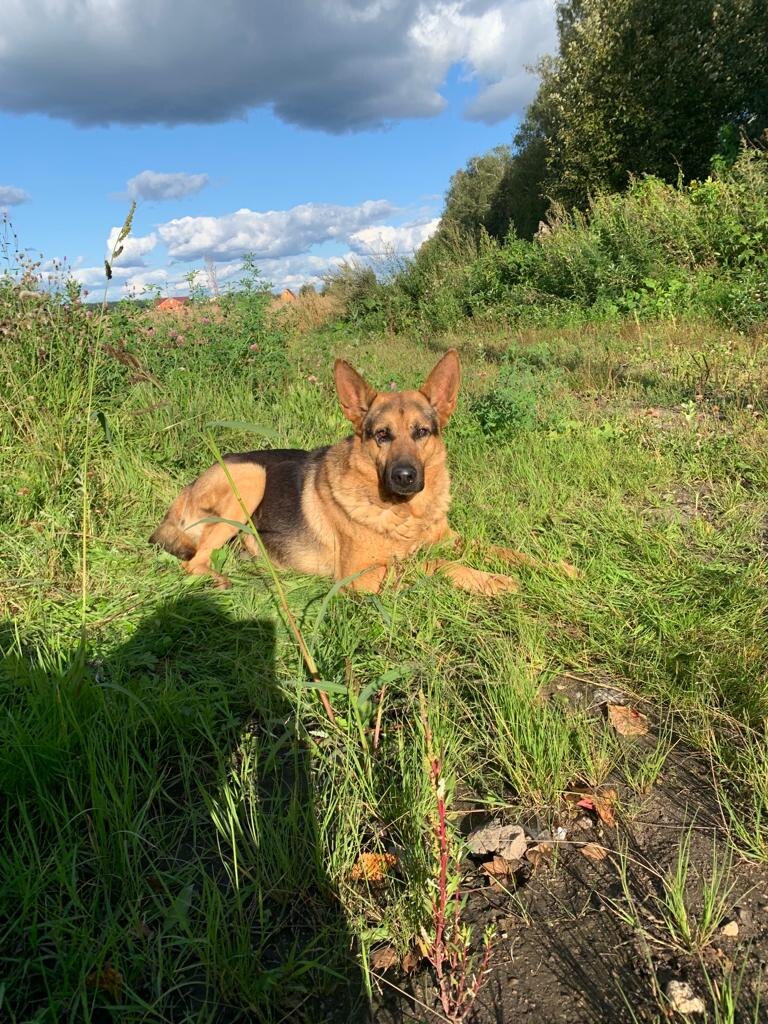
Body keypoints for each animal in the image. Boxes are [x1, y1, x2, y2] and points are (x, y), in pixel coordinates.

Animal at [151, 350, 573, 598]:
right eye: (381, 435)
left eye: (422, 432)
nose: (404, 476)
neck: (406, 514)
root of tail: (181, 496)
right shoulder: (363, 576)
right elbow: (433, 564)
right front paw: (490, 580)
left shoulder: (451, 539)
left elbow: (505, 550)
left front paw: (556, 567)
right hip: (251, 477)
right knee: (193, 562)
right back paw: (221, 579)